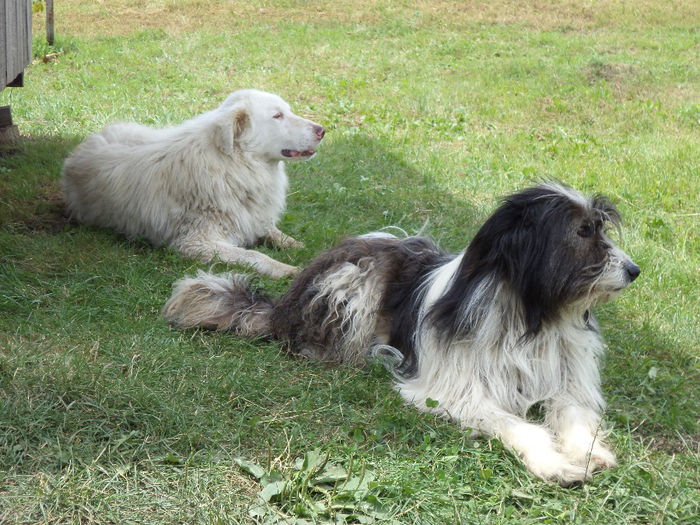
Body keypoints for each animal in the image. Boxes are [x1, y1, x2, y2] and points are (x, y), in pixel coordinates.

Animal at [61, 90, 324, 278]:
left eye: (287, 111)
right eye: (277, 116)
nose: (322, 130)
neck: (231, 165)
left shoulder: (251, 218)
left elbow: (272, 230)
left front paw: (296, 244)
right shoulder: (197, 243)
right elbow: (253, 256)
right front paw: (284, 268)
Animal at [164, 182, 640, 486]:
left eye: (600, 227)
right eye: (582, 231)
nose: (634, 270)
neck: (531, 316)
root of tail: (286, 303)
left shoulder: (567, 379)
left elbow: (574, 415)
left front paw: (589, 452)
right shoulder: (454, 390)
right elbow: (517, 424)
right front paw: (553, 463)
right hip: (356, 282)